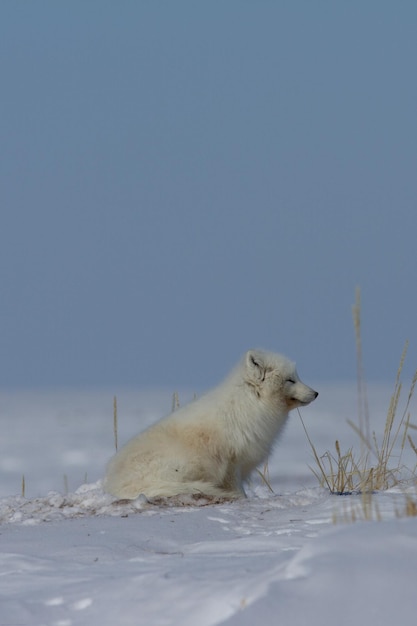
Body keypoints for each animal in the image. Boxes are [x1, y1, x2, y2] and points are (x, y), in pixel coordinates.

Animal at [103, 348, 316, 500]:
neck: (249, 404)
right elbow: (237, 489)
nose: (316, 393)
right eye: (290, 380)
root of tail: (117, 484)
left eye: (297, 377)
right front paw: (241, 498)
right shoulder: (231, 461)